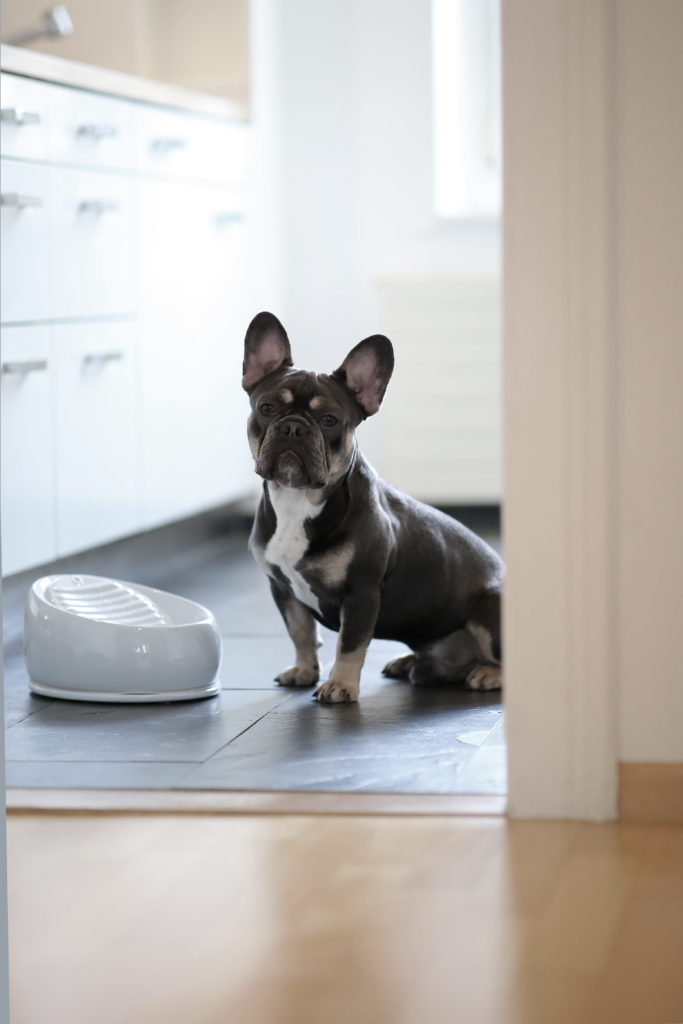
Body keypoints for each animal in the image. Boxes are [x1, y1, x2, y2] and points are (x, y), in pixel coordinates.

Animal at [244, 307, 501, 700]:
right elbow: (300, 633)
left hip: (490, 612)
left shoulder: (361, 593)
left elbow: (350, 644)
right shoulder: (283, 590)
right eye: (267, 408)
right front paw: (304, 670)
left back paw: (488, 673)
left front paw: (339, 685)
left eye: (329, 420)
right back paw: (410, 663)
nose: (293, 427)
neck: (297, 501)